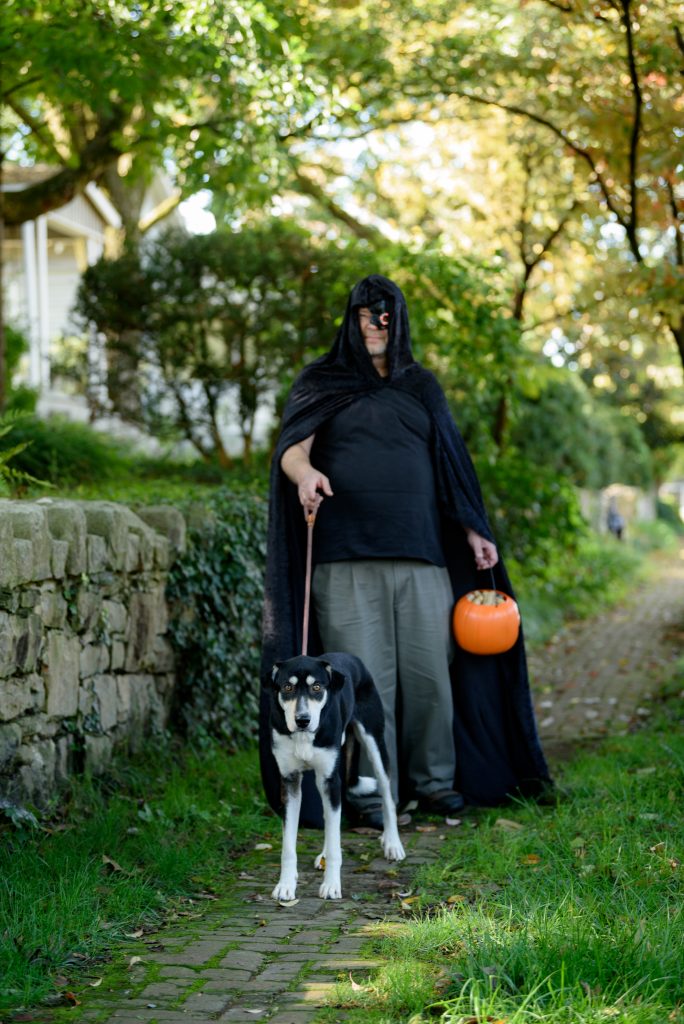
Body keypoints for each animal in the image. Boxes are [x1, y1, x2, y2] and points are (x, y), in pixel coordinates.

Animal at [266, 651, 405, 901]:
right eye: (287, 687)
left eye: (317, 687)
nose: (302, 720)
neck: (303, 737)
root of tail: (348, 656)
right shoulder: (290, 782)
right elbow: (289, 846)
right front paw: (286, 885)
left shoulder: (330, 781)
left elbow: (334, 842)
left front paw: (331, 885)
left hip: (374, 742)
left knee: (387, 796)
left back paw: (393, 843)